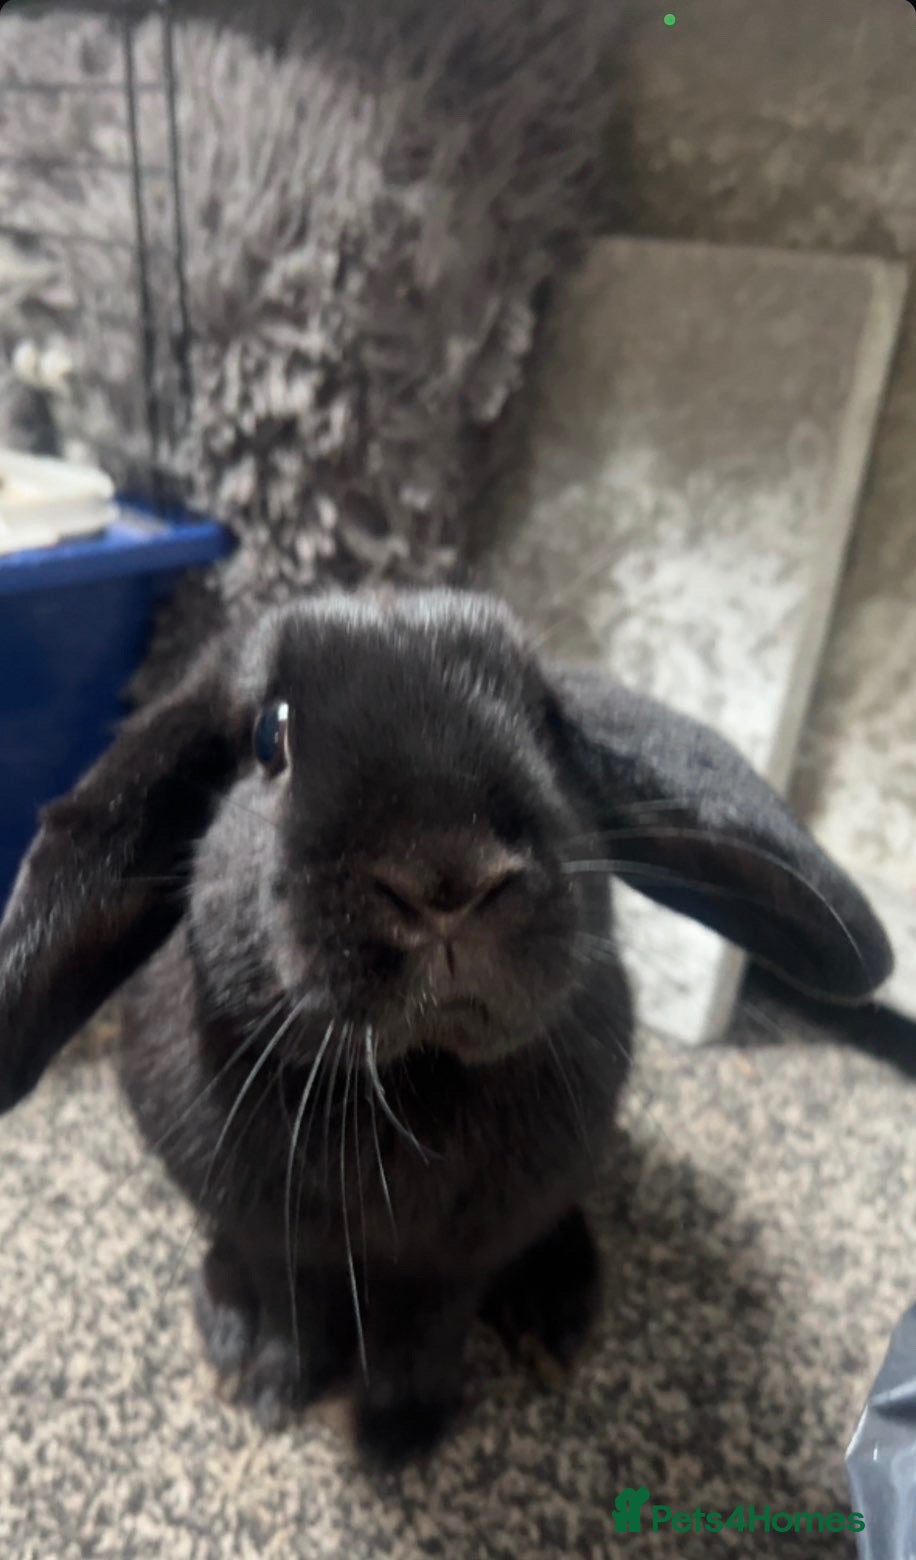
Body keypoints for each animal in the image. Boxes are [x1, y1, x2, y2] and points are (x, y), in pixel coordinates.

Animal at [0, 587, 893, 1466]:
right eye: (267, 736)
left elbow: (425, 1328)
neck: (407, 1083)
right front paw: (273, 1390)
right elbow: (291, 1304)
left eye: (543, 722)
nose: (447, 876)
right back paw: (229, 1330)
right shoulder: (273, 1235)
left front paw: (400, 1434)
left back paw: (550, 1318)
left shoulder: (461, 1257)